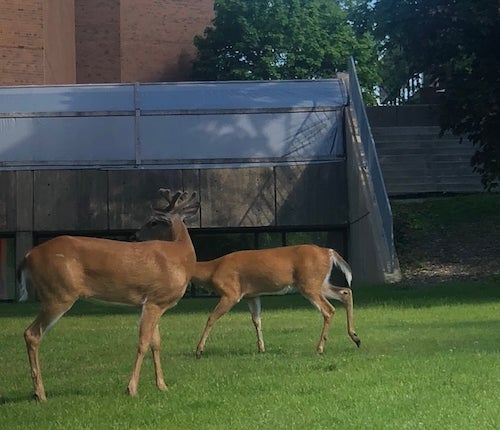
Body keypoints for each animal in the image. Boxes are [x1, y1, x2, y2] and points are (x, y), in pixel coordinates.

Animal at [17, 190, 201, 402]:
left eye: (153, 222)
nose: (135, 235)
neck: (181, 256)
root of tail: (28, 256)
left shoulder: (151, 303)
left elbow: (155, 343)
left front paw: (162, 386)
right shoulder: (155, 300)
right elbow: (143, 342)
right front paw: (132, 388)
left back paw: (37, 392)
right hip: (58, 293)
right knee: (31, 333)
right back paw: (40, 393)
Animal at [134, 210, 360, 358]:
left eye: (153, 222)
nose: (135, 235)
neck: (211, 269)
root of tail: (329, 252)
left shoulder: (231, 292)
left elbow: (211, 318)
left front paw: (198, 350)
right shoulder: (252, 295)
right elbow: (256, 320)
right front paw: (261, 348)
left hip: (309, 283)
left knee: (329, 310)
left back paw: (320, 348)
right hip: (320, 282)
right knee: (345, 292)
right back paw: (355, 337)